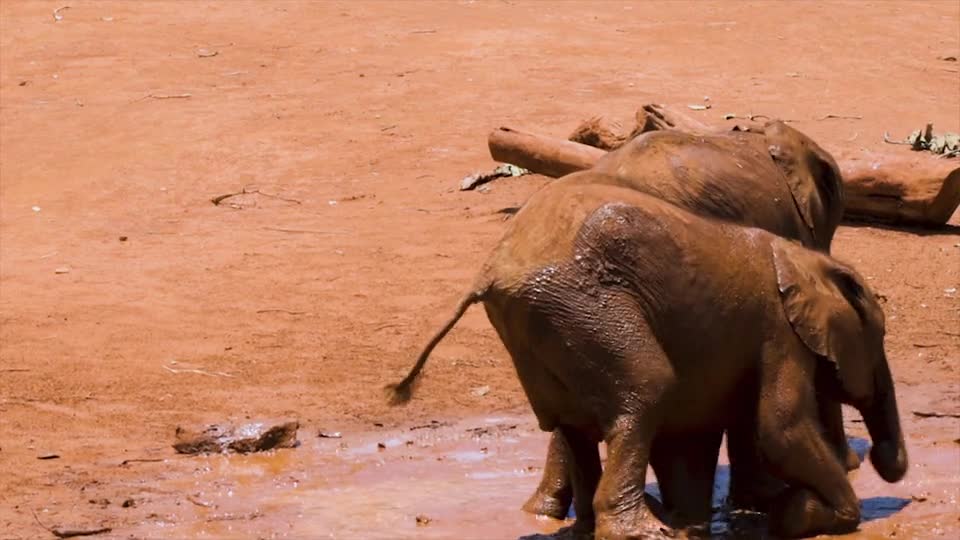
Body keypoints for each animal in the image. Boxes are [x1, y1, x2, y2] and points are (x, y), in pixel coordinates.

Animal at [384, 176, 908, 536]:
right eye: (880, 335)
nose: (881, 461)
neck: (807, 260)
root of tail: (490, 271)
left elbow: (693, 436)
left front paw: (720, 520)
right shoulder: (779, 332)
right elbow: (780, 429)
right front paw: (815, 513)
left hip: (540, 326)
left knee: (572, 423)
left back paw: (605, 527)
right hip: (585, 308)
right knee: (646, 391)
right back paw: (643, 530)